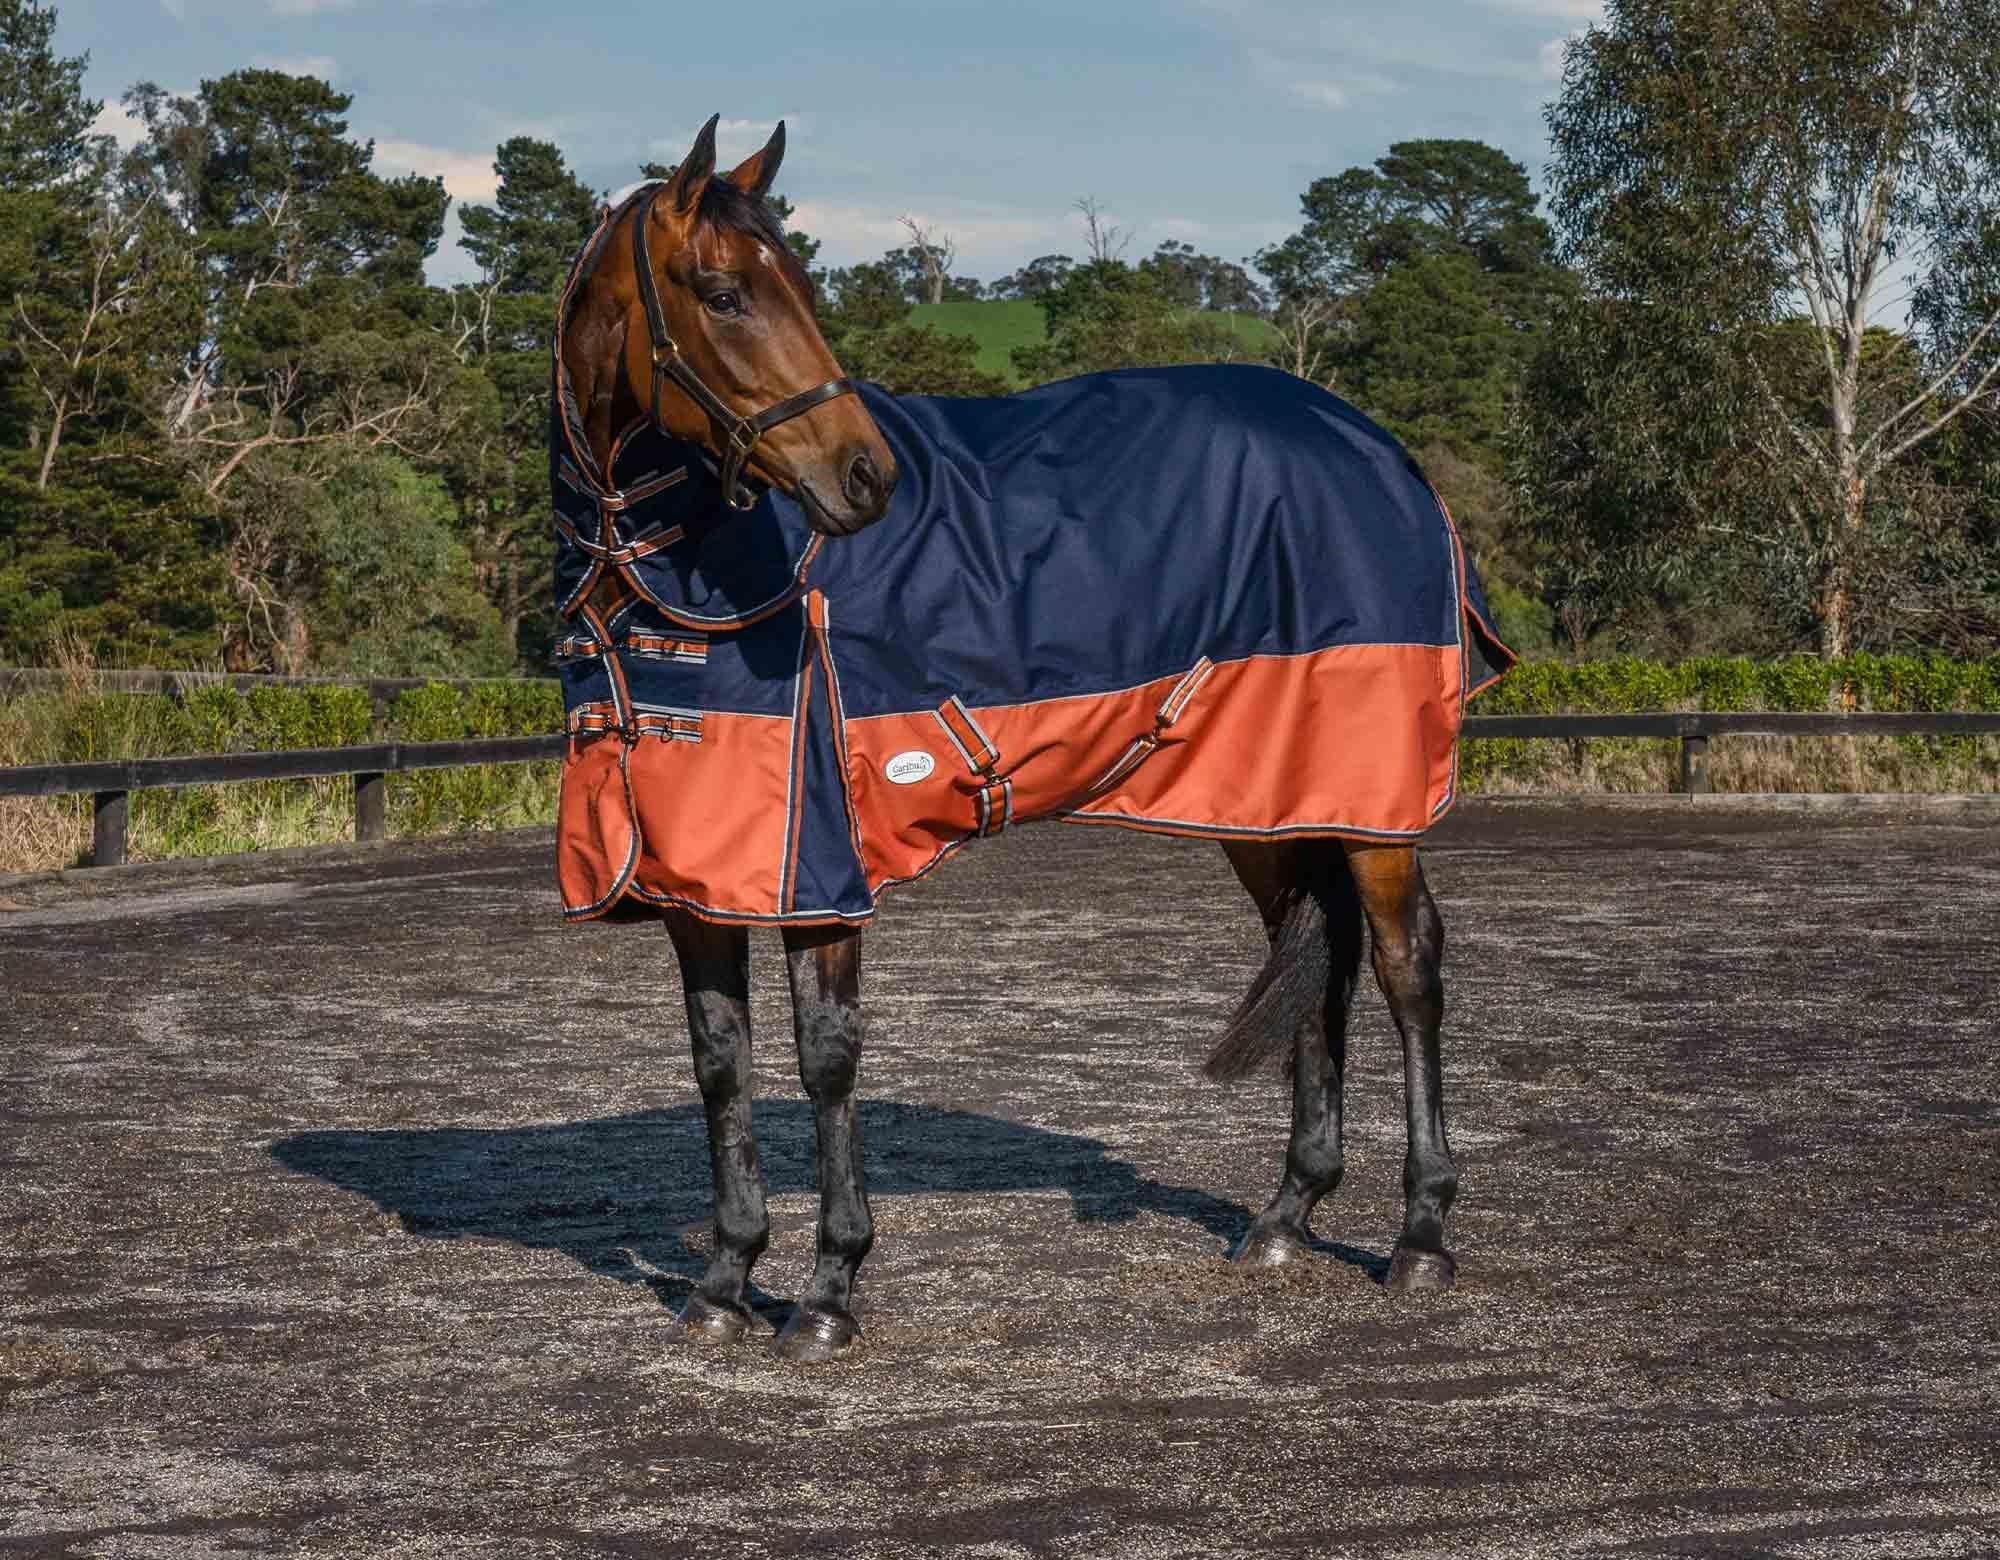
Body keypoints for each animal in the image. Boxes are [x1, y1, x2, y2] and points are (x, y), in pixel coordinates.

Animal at [550, 116, 1513, 1362]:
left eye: (798, 283)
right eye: (722, 294)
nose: (865, 477)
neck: (685, 592)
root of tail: (1378, 450)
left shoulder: (817, 868)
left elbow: (823, 1057)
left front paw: (828, 1288)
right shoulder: (698, 873)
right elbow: (720, 1062)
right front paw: (723, 1279)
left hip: (1372, 802)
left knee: (1406, 968)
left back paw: (1420, 1235)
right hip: (1268, 801)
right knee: (1320, 958)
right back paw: (1286, 1215)